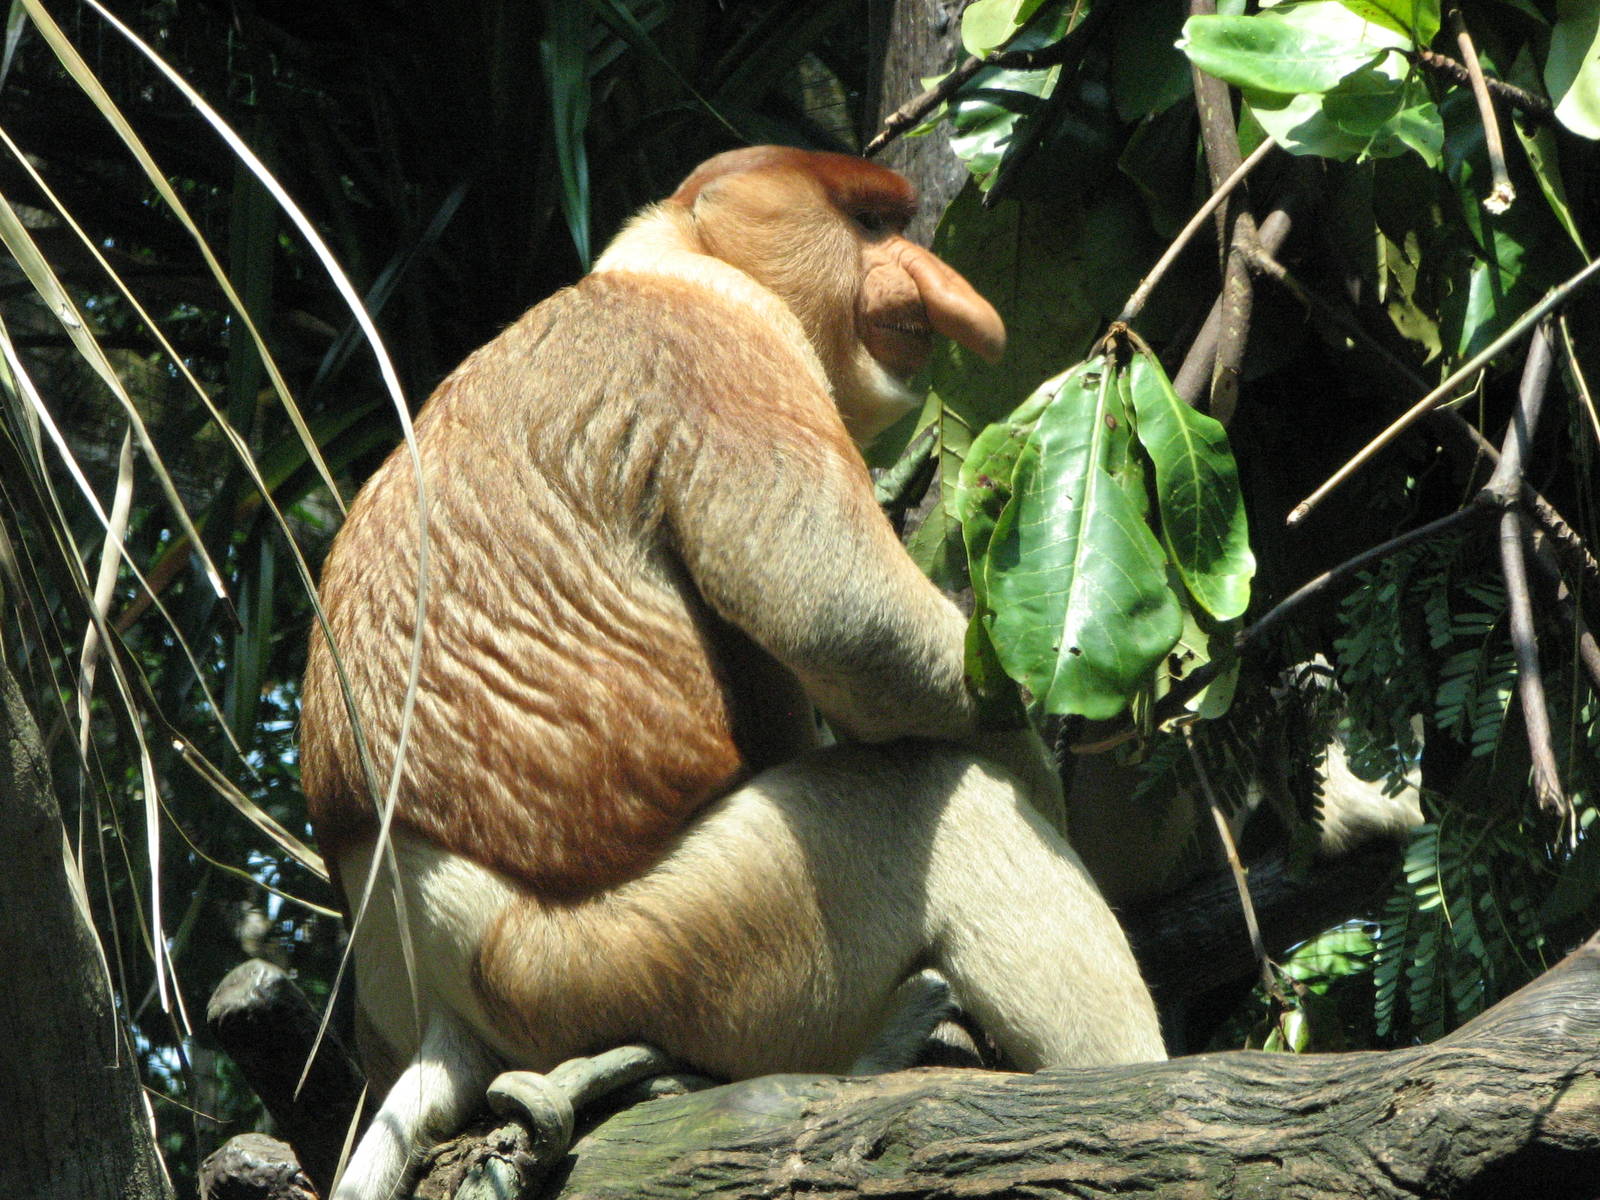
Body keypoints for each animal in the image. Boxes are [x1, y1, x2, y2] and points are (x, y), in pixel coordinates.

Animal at [300, 145, 1165, 1200]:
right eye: (871, 225)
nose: (937, 287)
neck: (672, 258)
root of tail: (426, 975)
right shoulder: (729, 345)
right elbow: (840, 615)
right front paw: (1032, 763)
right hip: (641, 956)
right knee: (945, 804)